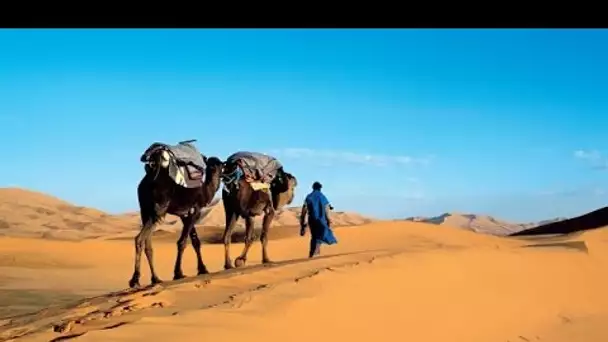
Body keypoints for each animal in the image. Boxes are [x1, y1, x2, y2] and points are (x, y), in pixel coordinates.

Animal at [128, 148, 223, 288]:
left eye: (219, 164)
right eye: (211, 165)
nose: (214, 170)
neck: (205, 191)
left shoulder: (185, 215)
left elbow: (195, 242)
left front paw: (202, 269)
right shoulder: (195, 212)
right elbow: (182, 242)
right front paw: (178, 273)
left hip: (145, 211)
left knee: (148, 244)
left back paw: (156, 279)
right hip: (158, 210)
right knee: (139, 239)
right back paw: (135, 280)